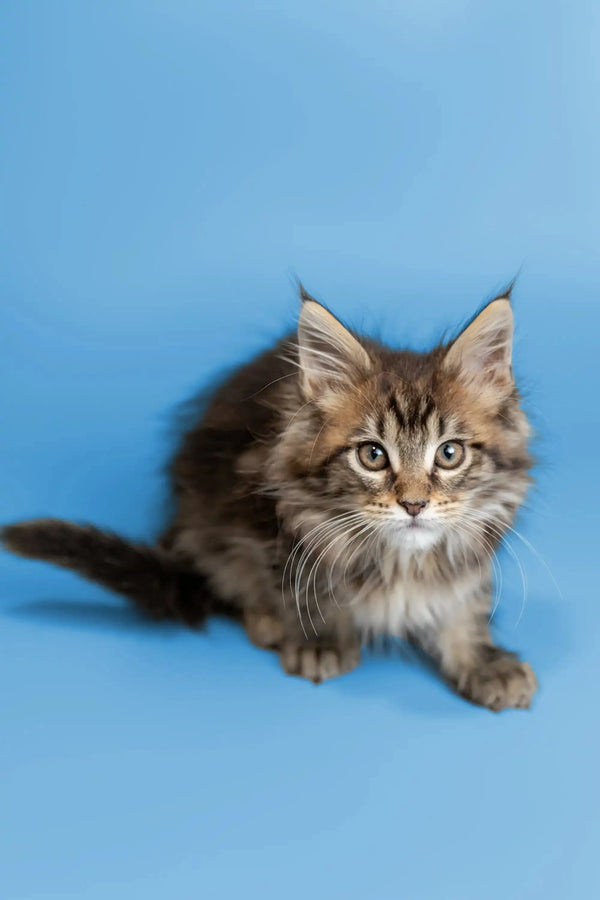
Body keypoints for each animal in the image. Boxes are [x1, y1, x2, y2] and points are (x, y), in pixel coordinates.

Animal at [0, 288, 536, 712]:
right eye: (372, 455)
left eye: (449, 453)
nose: (414, 504)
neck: (401, 560)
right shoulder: (272, 522)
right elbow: (298, 589)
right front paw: (318, 638)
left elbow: (464, 603)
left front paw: (482, 660)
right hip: (204, 510)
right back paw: (264, 621)